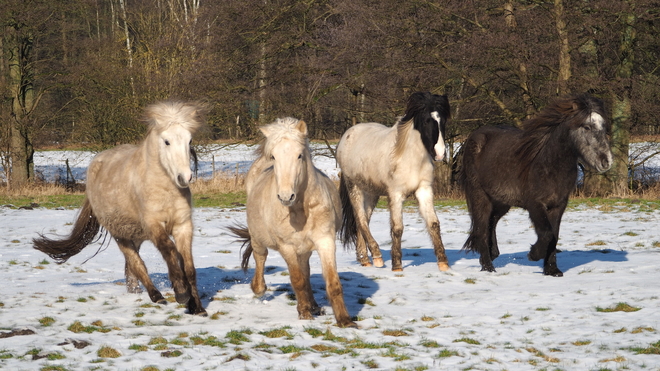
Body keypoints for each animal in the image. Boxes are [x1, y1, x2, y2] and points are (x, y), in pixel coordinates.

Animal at [32, 101, 206, 316]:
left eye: (189, 141)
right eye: (166, 142)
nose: (184, 177)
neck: (164, 189)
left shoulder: (183, 226)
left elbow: (189, 267)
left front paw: (197, 307)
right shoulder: (154, 225)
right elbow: (170, 250)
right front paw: (182, 293)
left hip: (135, 234)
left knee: (131, 267)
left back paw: (136, 291)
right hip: (119, 234)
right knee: (137, 263)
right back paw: (156, 296)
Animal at [231, 117, 356, 328]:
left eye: (299, 156)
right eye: (274, 157)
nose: (285, 196)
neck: (300, 211)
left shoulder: (325, 241)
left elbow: (332, 282)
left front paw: (345, 320)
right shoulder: (286, 246)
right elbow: (297, 280)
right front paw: (304, 313)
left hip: (304, 248)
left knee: (305, 270)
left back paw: (314, 305)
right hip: (258, 239)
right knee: (260, 258)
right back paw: (259, 288)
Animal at [462, 94, 612, 278]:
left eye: (604, 126)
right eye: (587, 126)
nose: (606, 161)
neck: (548, 164)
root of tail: (474, 137)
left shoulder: (558, 206)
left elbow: (554, 236)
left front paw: (552, 270)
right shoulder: (535, 205)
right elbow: (547, 234)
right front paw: (533, 255)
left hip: (501, 201)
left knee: (492, 221)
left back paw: (493, 253)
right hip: (480, 196)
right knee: (482, 228)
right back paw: (488, 266)